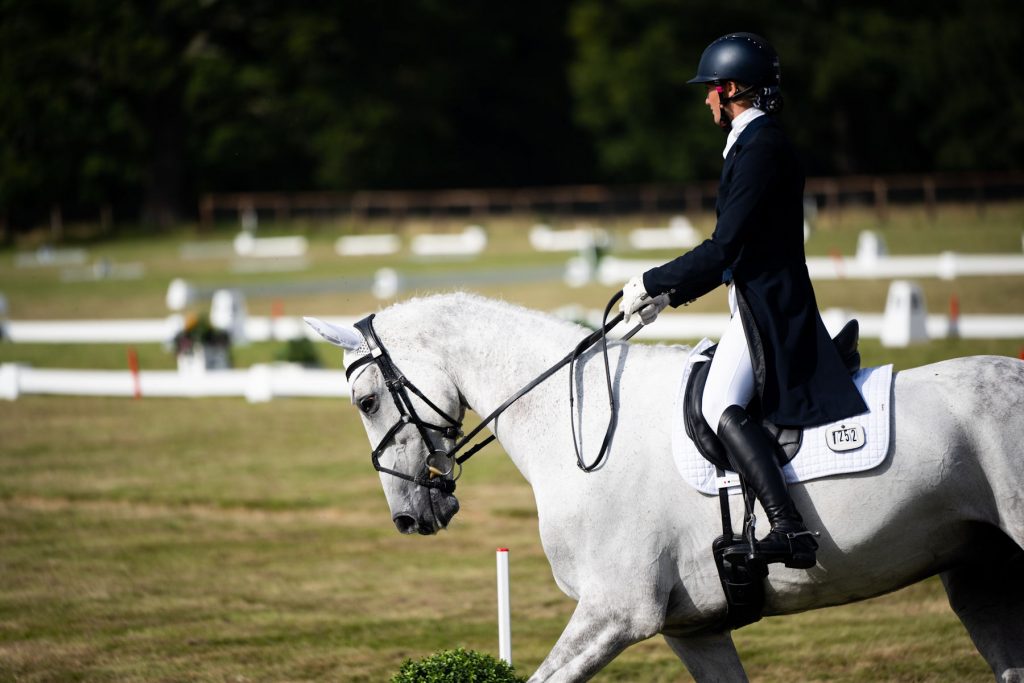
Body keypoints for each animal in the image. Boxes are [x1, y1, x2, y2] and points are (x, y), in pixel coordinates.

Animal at [306, 292, 1024, 682]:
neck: (577, 421)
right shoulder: (693, 627)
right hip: (980, 576)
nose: (409, 515)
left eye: (367, 400)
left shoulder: (617, 612)